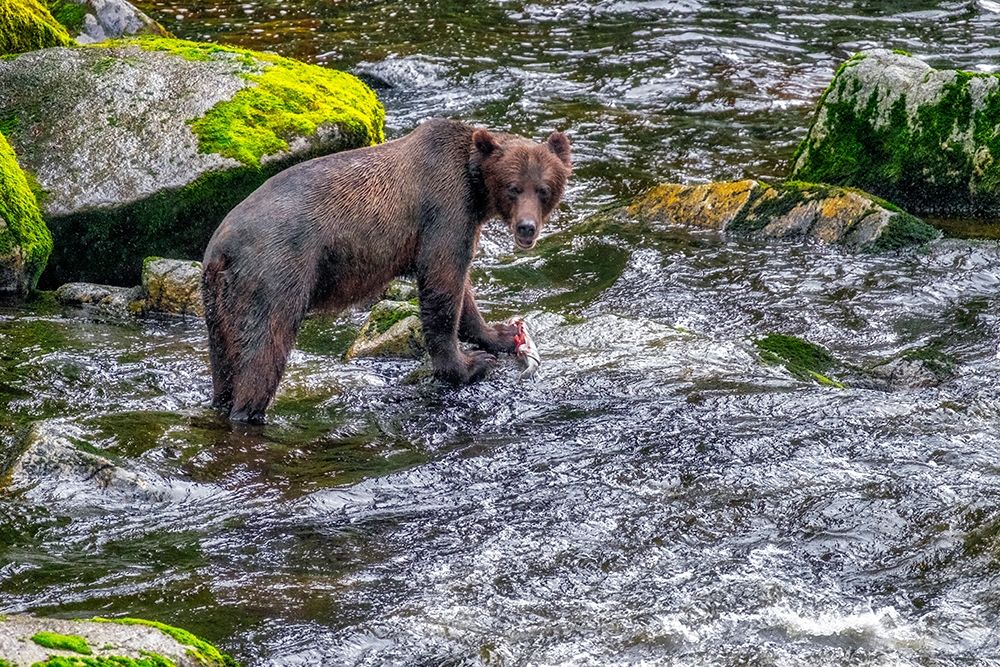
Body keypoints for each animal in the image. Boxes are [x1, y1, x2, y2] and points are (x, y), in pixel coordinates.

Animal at [201, 118, 572, 423]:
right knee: (265, 348)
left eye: (544, 189)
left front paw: (500, 334)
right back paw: (252, 412)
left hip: (219, 301)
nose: (526, 228)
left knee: (224, 360)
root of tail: (221, 248)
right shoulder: (445, 209)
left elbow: (462, 289)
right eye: (513, 187)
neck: (476, 190)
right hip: (276, 274)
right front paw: (469, 365)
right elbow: (442, 282)